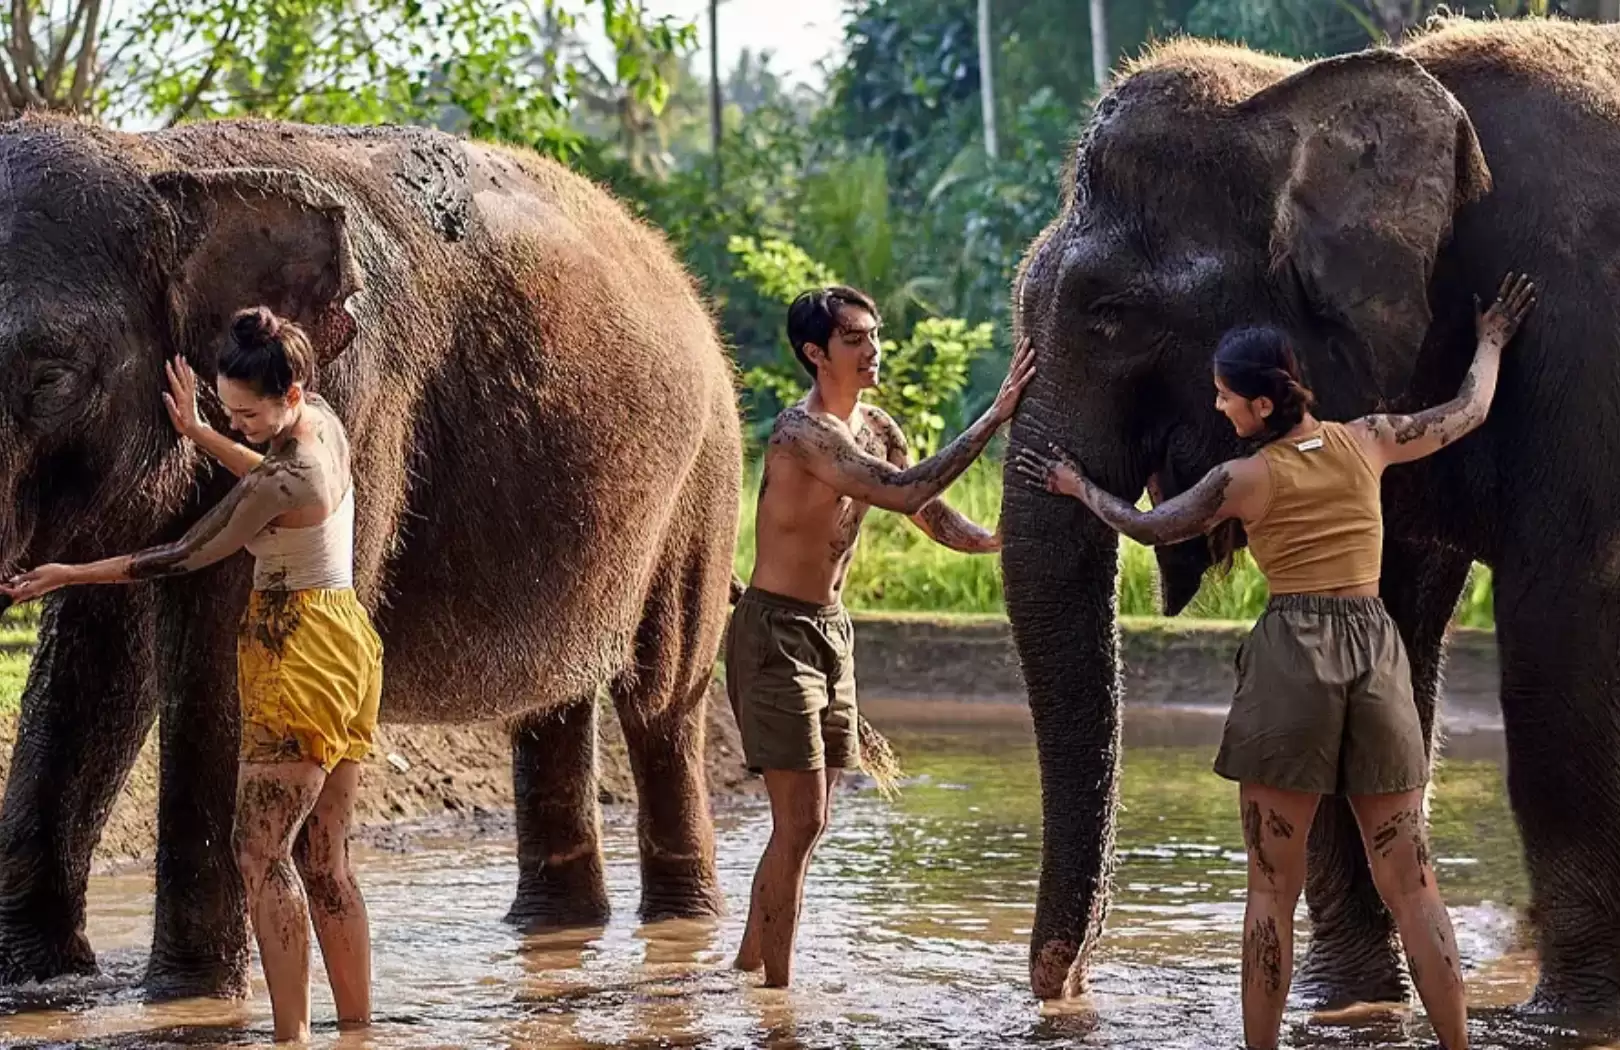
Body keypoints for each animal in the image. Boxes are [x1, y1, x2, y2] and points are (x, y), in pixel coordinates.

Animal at [0, 114, 741, 998]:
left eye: (50, 378)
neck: (168, 159)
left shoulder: (356, 401)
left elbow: (226, 645)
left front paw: (192, 998)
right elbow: (91, 664)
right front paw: (32, 981)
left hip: (706, 475)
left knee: (662, 703)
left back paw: (679, 929)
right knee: (553, 704)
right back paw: (557, 929)